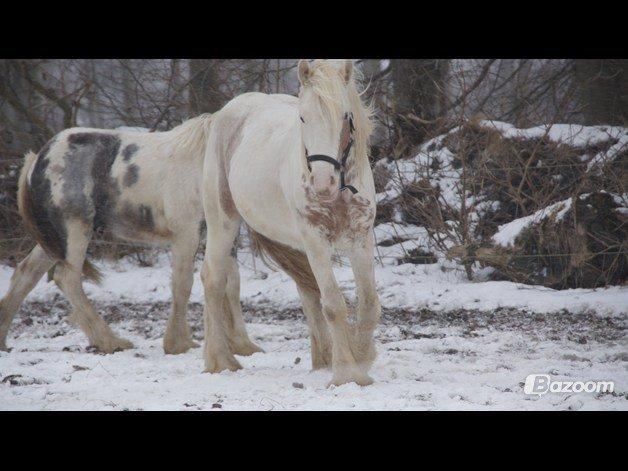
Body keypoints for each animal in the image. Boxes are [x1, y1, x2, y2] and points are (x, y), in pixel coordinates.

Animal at [0, 116, 260, 356]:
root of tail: (37, 160)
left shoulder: (223, 236)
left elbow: (231, 283)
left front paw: (243, 345)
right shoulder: (186, 234)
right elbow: (183, 284)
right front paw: (178, 343)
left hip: (54, 240)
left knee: (26, 275)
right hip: (74, 232)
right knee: (67, 279)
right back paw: (110, 340)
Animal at [201, 59, 380, 388]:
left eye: (345, 116)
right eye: (302, 117)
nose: (322, 184)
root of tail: (225, 112)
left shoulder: (361, 238)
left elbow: (369, 304)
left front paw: (362, 357)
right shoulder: (316, 241)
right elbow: (333, 304)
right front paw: (346, 373)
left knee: (306, 291)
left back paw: (321, 359)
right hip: (222, 220)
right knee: (214, 279)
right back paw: (220, 360)